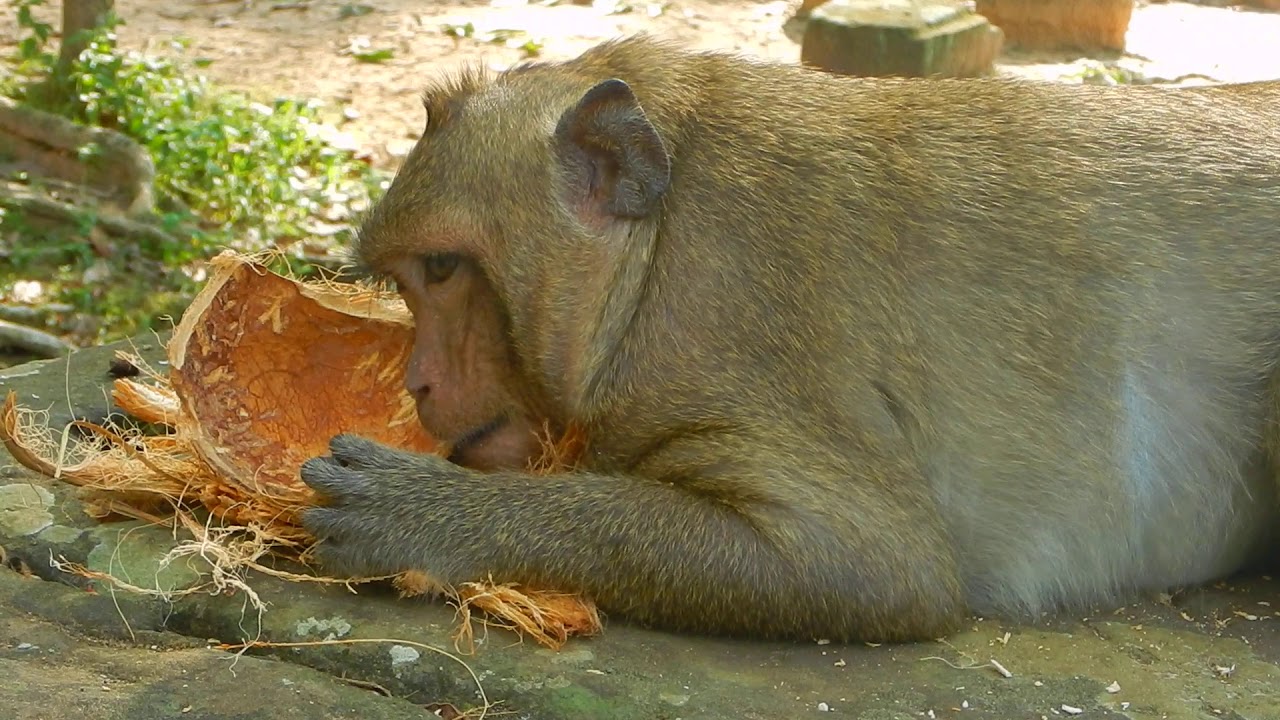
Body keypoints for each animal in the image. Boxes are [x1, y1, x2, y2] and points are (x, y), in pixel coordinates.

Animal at [298, 35, 1280, 644]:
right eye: (409, 281)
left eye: (443, 268)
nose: (420, 380)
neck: (654, 253)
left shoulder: (720, 341)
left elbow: (878, 564)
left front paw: (424, 513)